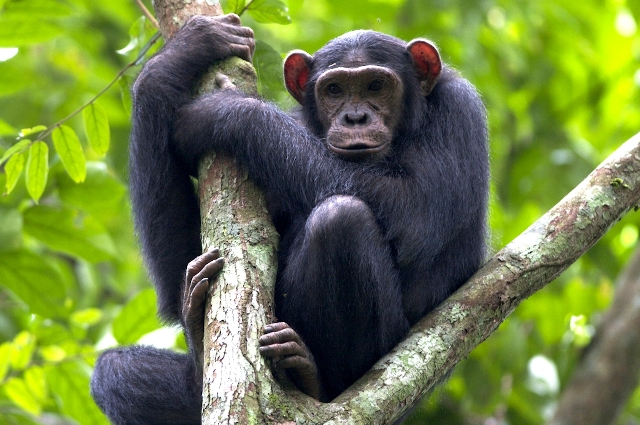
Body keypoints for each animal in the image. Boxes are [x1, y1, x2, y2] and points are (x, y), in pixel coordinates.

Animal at [90, 13, 488, 424]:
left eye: (376, 86)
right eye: (334, 90)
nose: (356, 117)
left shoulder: (459, 111)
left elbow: (413, 214)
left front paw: (223, 111)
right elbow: (174, 282)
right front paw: (185, 51)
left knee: (341, 219)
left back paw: (311, 378)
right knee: (115, 371)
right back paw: (199, 338)